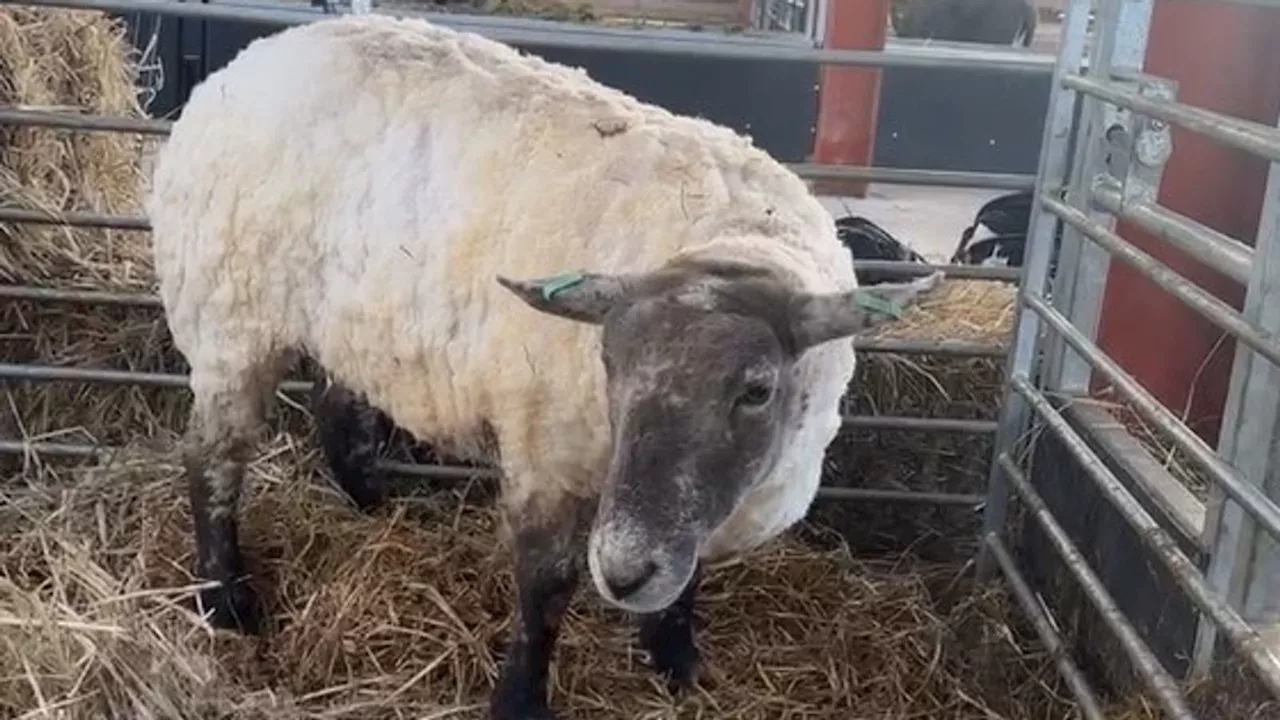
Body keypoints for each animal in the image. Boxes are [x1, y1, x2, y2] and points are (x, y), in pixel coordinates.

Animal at [149, 14, 947, 712]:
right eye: (609, 364)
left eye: (757, 389)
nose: (625, 572)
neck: (733, 241)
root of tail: (246, 63)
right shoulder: (549, 456)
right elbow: (547, 589)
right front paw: (520, 699)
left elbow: (681, 587)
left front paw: (677, 663)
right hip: (229, 317)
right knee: (211, 459)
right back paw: (224, 602)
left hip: (340, 319)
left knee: (338, 411)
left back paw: (374, 508)